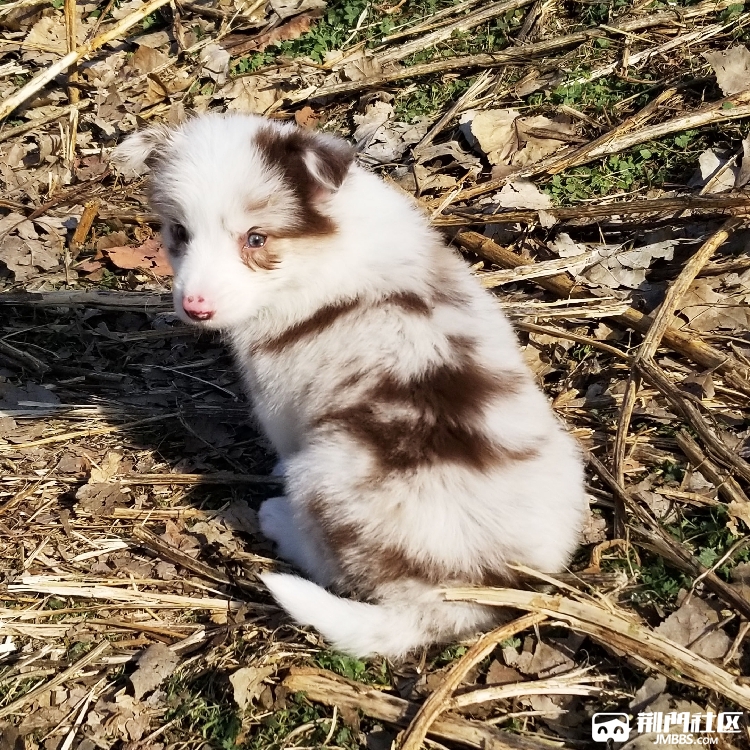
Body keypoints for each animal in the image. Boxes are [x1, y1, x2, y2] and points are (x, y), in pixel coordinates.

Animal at [114, 114, 592, 660]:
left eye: (255, 239)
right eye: (179, 232)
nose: (195, 307)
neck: (319, 250)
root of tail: (463, 597)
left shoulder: (277, 399)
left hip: (323, 474)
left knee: (329, 566)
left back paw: (278, 518)